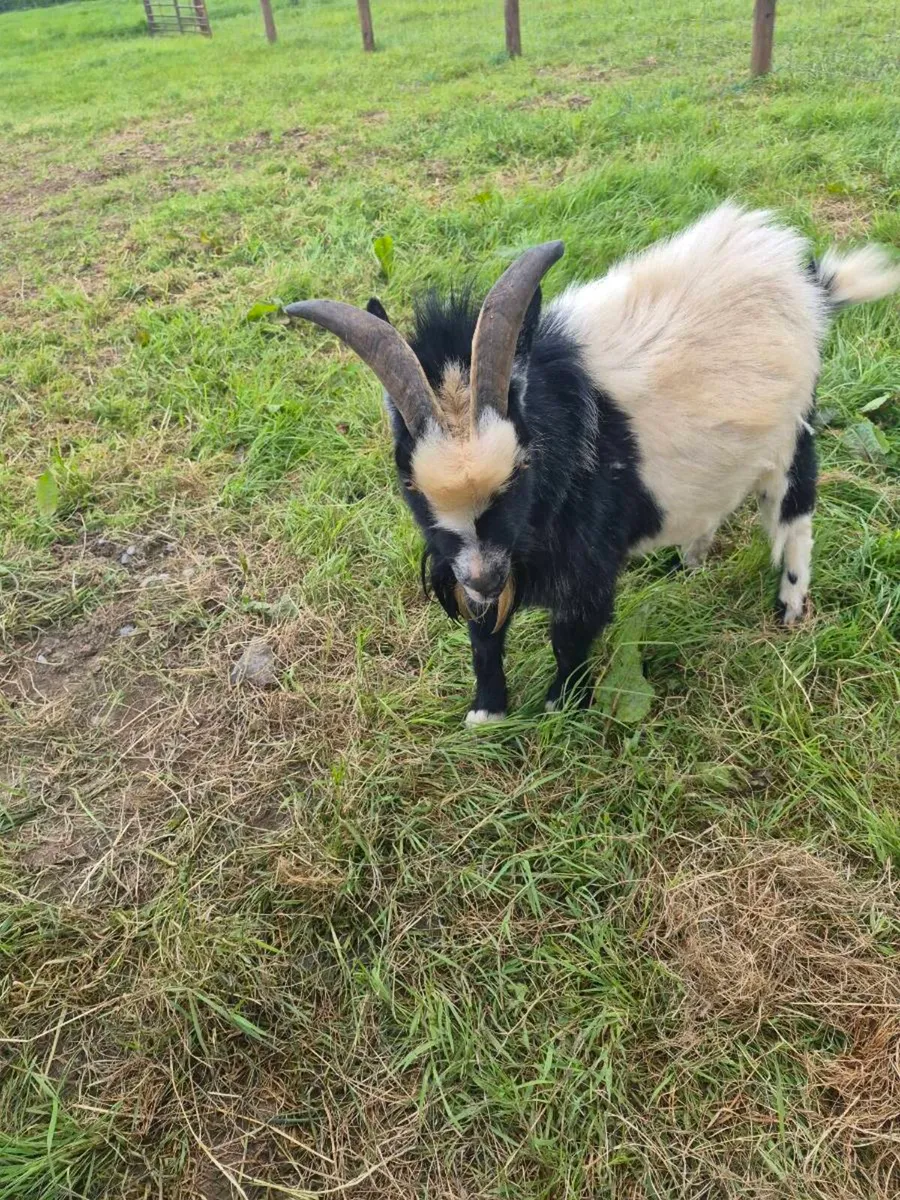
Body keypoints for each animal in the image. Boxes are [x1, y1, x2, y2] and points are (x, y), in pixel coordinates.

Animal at [286, 204, 900, 723]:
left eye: (520, 471)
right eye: (409, 483)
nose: (485, 579)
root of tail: (804, 275)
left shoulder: (584, 566)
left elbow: (570, 634)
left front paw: (562, 706)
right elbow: (484, 635)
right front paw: (487, 712)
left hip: (794, 431)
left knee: (796, 516)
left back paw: (790, 606)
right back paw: (691, 559)